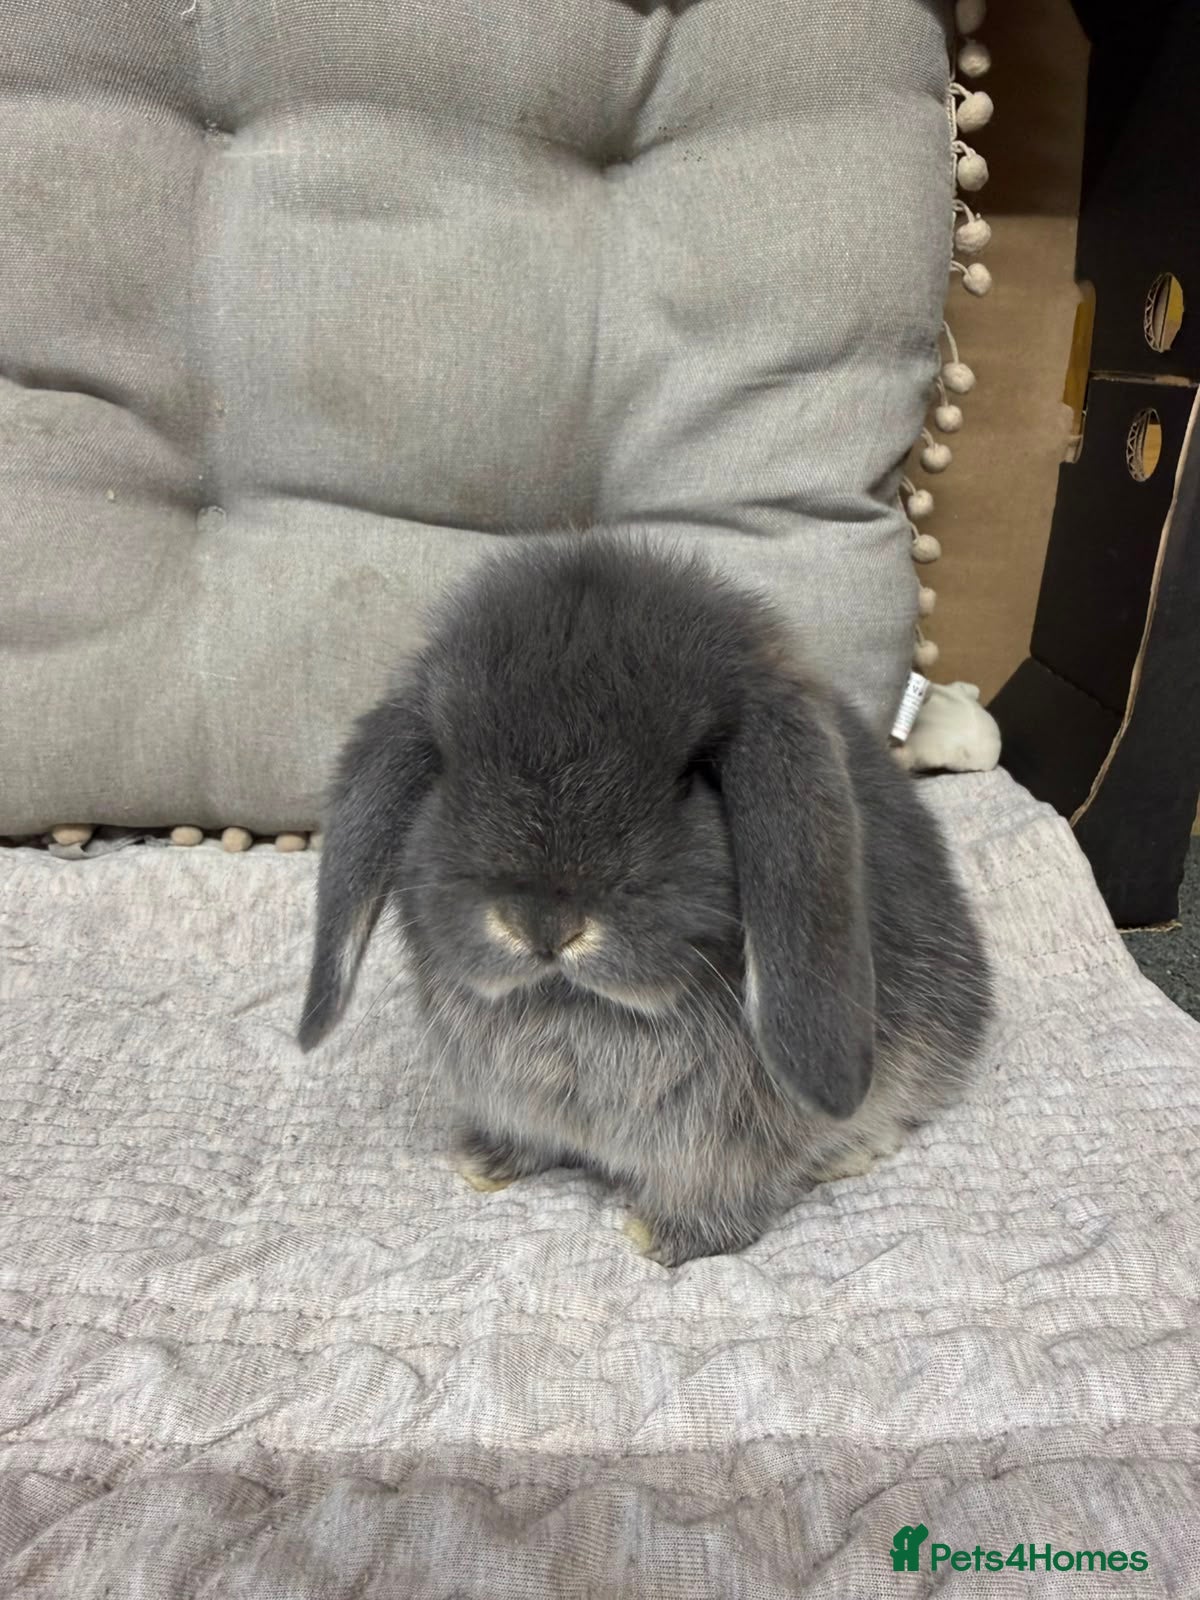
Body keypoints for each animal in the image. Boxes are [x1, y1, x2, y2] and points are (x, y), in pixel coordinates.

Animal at [298, 533, 993, 1266]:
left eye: (690, 777)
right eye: (451, 763)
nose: (543, 924)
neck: (573, 1007)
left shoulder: (730, 1140)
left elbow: (725, 1185)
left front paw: (661, 1235)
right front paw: (485, 1163)